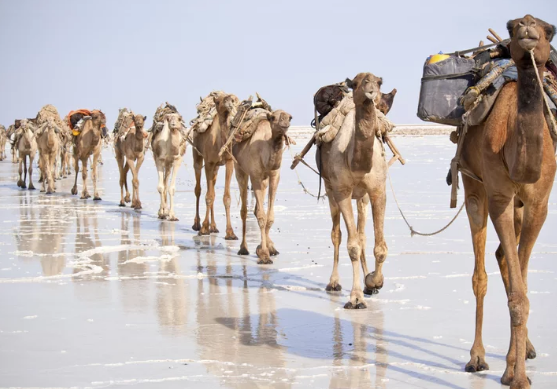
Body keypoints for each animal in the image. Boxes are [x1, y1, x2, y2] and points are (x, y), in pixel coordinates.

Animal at [192, 93, 238, 239]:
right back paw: (197, 224)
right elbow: (208, 196)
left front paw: (230, 233)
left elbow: (226, 197)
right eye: (217, 102)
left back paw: (214, 227)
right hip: (197, 156)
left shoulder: (229, 162)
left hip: (216, 168)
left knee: (212, 188)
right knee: (199, 189)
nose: (230, 100)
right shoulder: (209, 163)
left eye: (233, 99)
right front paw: (203, 229)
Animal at [231, 109, 294, 264]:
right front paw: (264, 254)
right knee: (244, 210)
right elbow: (261, 216)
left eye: (290, 117)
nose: (285, 121)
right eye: (273, 117)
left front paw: (265, 249)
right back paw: (243, 248)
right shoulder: (256, 176)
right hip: (239, 169)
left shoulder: (274, 176)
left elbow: (269, 217)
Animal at [314, 72, 388, 310]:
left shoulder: (377, 190)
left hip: (361, 196)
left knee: (362, 233)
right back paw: (334, 283)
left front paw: (373, 281)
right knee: (337, 234)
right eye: (355, 83)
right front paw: (356, 298)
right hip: (330, 189)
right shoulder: (342, 190)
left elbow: (378, 246)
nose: (371, 91)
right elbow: (352, 245)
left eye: (379, 82)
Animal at [456, 15, 556, 388]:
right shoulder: (499, 195)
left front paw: (516, 367)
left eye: (550, 29)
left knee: (504, 258)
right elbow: (516, 290)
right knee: (480, 272)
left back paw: (524, 350)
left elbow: (521, 283)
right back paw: (477, 357)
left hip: (519, 206)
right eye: (513, 27)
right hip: (473, 183)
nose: (528, 26)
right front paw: (516, 376)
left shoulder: (540, 203)